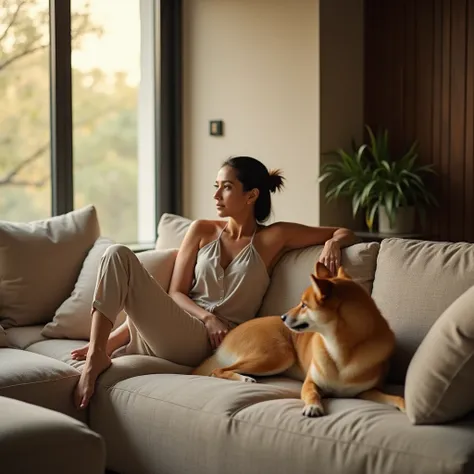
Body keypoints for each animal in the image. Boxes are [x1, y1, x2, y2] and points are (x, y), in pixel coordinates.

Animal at [191, 262, 406, 416]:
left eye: (304, 305)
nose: (283, 317)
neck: (340, 349)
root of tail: (229, 334)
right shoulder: (310, 383)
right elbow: (312, 394)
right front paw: (313, 407)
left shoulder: (367, 392)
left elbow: (394, 397)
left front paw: (405, 406)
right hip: (279, 355)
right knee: (218, 370)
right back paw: (244, 378)